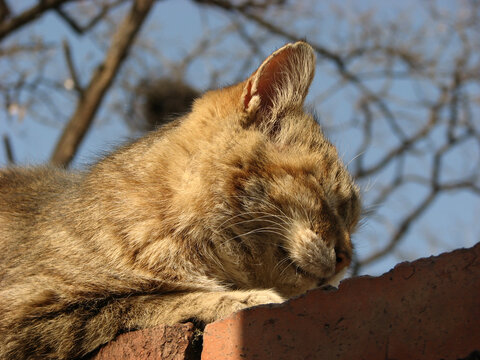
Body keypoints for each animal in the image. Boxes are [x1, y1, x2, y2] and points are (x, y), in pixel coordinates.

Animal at [0, 40, 360, 358]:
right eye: (323, 190)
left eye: (353, 223)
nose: (346, 259)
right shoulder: (24, 317)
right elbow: (146, 301)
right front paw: (249, 297)